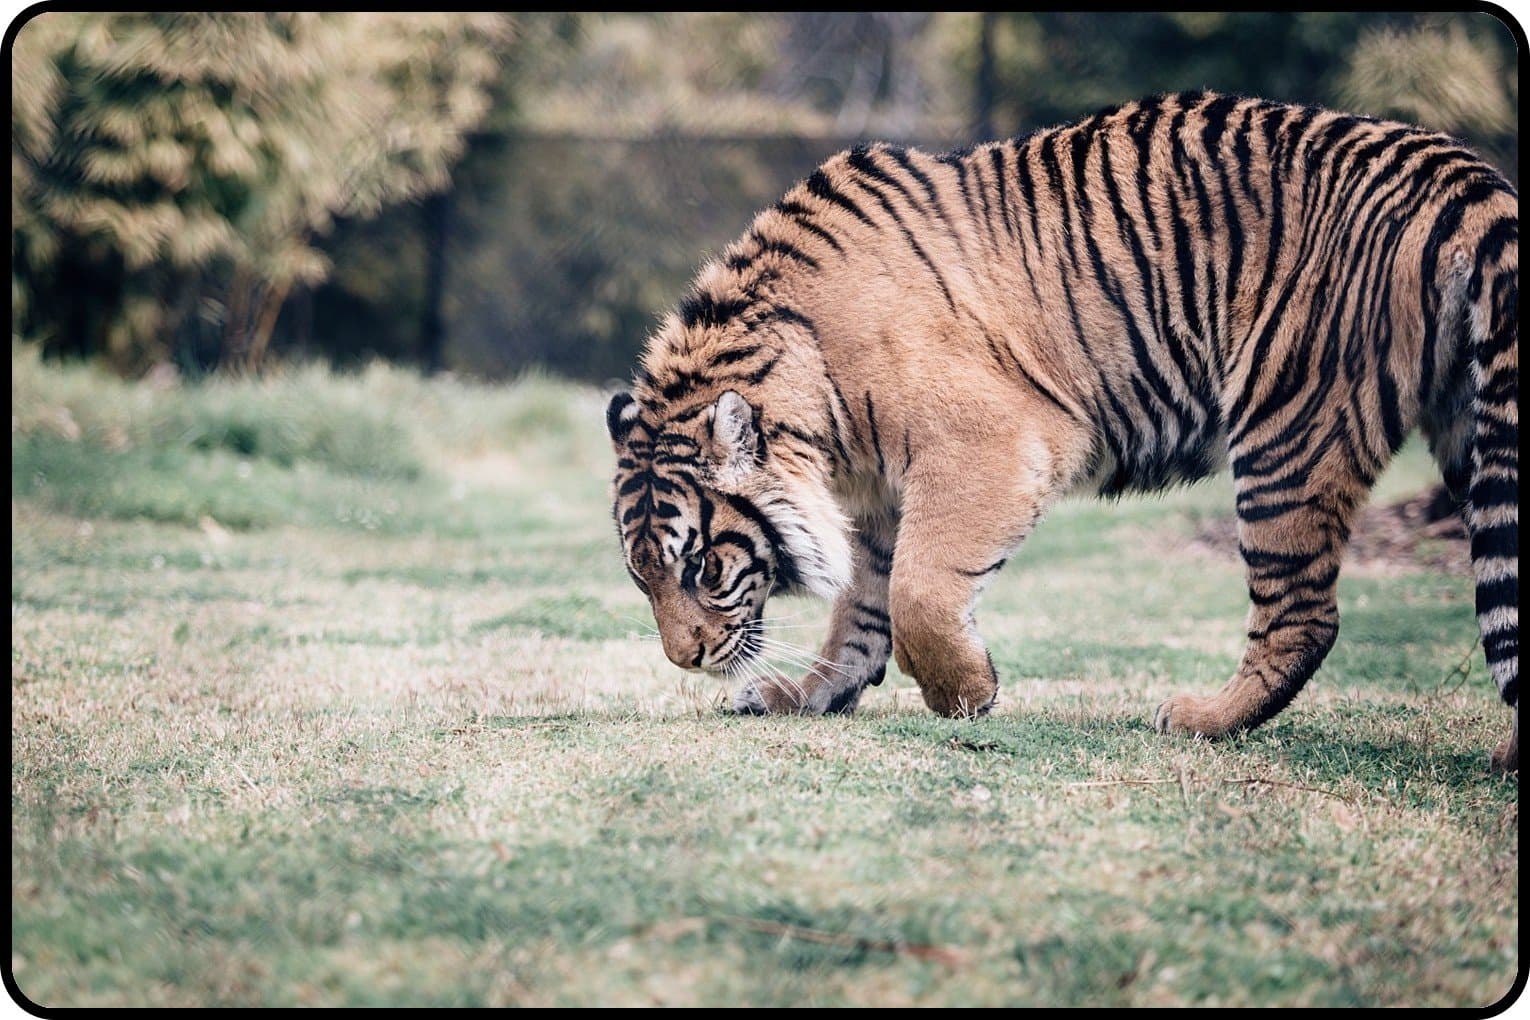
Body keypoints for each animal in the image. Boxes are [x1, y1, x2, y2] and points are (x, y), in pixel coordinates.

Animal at [605, 90, 1519, 772]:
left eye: (701, 567)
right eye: (641, 575)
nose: (683, 661)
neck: (811, 391)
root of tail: (1456, 169)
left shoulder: (991, 443)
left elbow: (917, 591)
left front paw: (965, 695)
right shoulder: (878, 498)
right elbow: (863, 608)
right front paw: (808, 697)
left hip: (1288, 426)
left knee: (1303, 611)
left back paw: (1201, 718)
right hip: (1474, 436)